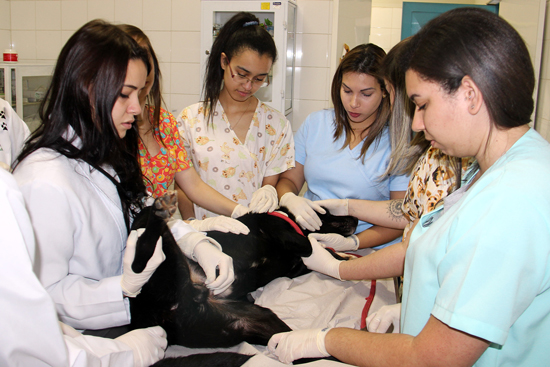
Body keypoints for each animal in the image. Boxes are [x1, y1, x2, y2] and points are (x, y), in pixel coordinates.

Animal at [131, 191, 360, 352]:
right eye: (324, 209)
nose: (358, 220)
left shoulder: (295, 267)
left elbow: (322, 256)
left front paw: (342, 257)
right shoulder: (280, 231)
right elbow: (309, 245)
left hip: (252, 323)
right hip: (155, 249)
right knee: (140, 254)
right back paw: (161, 210)